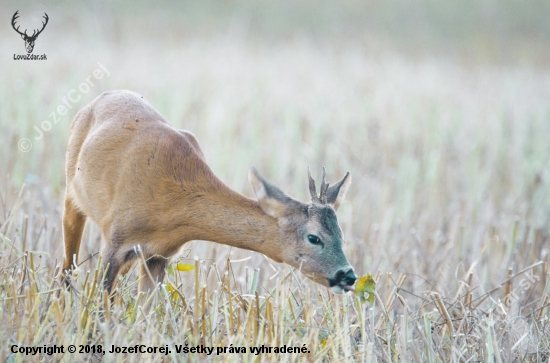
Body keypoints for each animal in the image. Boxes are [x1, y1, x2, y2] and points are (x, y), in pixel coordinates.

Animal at [62, 91, 358, 296]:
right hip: (70, 195)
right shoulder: (116, 239)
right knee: (67, 267)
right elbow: (100, 303)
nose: (348, 276)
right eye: (314, 238)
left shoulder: (159, 254)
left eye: (341, 235)